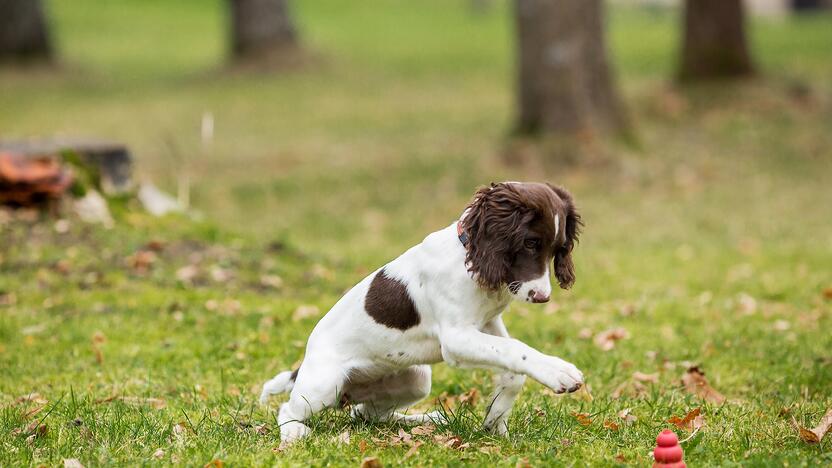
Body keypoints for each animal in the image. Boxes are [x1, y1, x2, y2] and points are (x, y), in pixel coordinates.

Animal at [262, 181, 584, 440]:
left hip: (416, 380)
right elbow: (515, 348)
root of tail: (304, 364)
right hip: (323, 386)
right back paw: (294, 432)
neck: (471, 257)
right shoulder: (456, 339)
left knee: (365, 414)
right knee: (288, 408)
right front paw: (559, 372)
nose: (541, 296)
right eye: (530, 243)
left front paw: (495, 421)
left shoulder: (486, 323)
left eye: (559, 248)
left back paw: (428, 419)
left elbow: (511, 366)